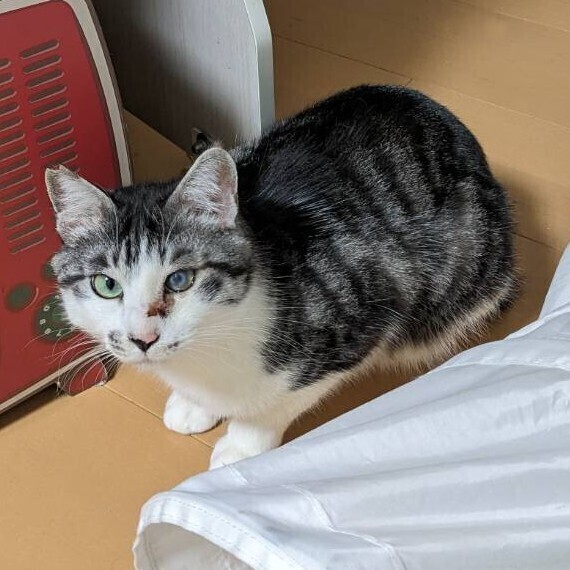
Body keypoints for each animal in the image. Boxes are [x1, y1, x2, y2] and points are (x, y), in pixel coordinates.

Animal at [45, 85, 517, 469]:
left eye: (180, 280)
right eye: (106, 285)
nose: (143, 338)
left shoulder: (365, 317)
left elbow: (278, 402)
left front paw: (241, 446)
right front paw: (193, 406)